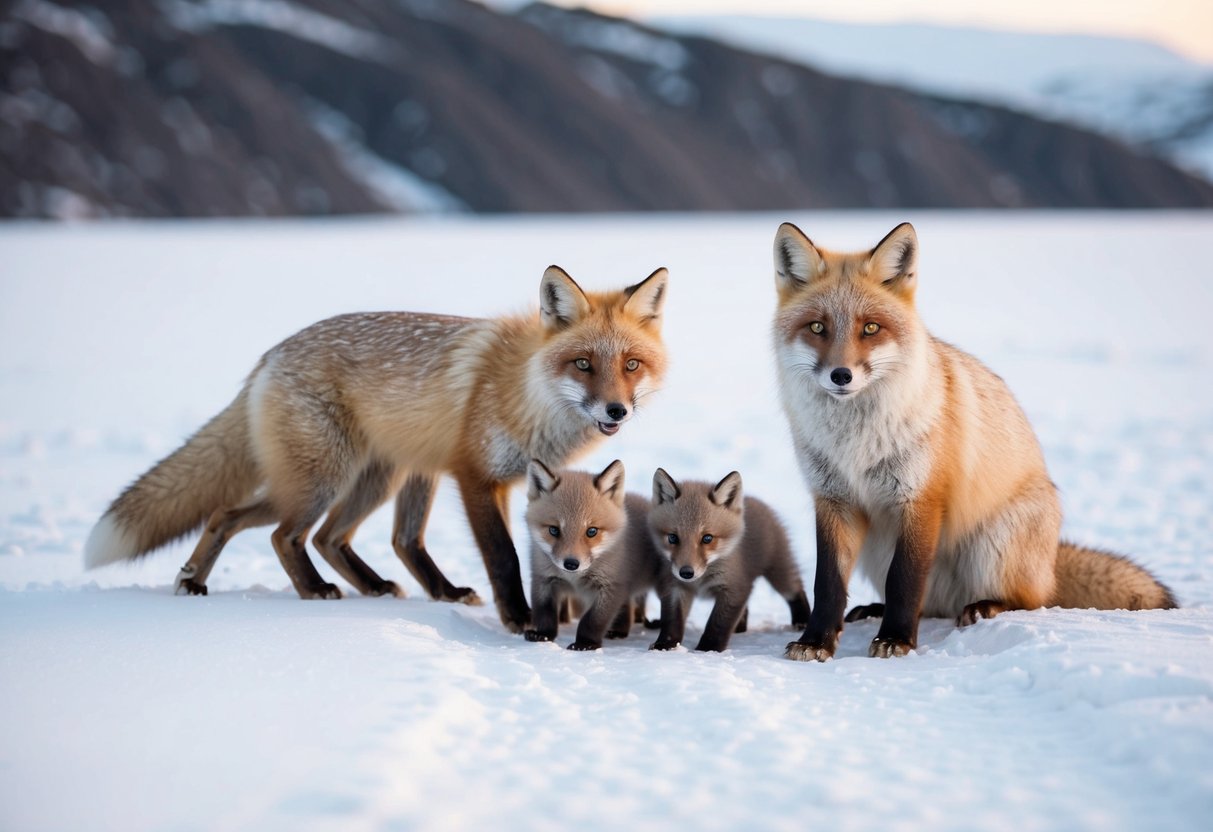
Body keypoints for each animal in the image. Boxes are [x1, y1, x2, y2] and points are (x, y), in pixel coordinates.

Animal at [524, 459, 670, 650]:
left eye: (591, 531)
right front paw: (544, 635)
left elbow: (592, 620)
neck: (574, 579)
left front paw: (586, 643)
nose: (571, 564)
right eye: (554, 530)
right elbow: (544, 613)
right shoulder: (543, 579)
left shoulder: (612, 586)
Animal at [647, 469, 811, 652]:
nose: (686, 573)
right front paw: (666, 644)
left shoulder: (733, 588)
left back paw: (802, 621)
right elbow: (672, 621)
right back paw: (740, 627)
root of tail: (756, 500)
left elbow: (718, 624)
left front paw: (708, 648)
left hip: (779, 572)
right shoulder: (675, 586)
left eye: (707, 538)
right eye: (673, 538)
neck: (700, 580)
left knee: (796, 590)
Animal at [771, 221, 1176, 661]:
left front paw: (897, 639)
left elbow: (905, 580)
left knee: (1030, 600)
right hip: (878, 548)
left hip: (991, 545)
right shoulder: (833, 500)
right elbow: (827, 584)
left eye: (871, 328)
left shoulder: (921, 500)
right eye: (817, 327)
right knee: (932, 604)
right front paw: (816, 641)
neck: (855, 444)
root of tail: (1050, 561)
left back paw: (985, 606)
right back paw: (875, 609)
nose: (841, 375)